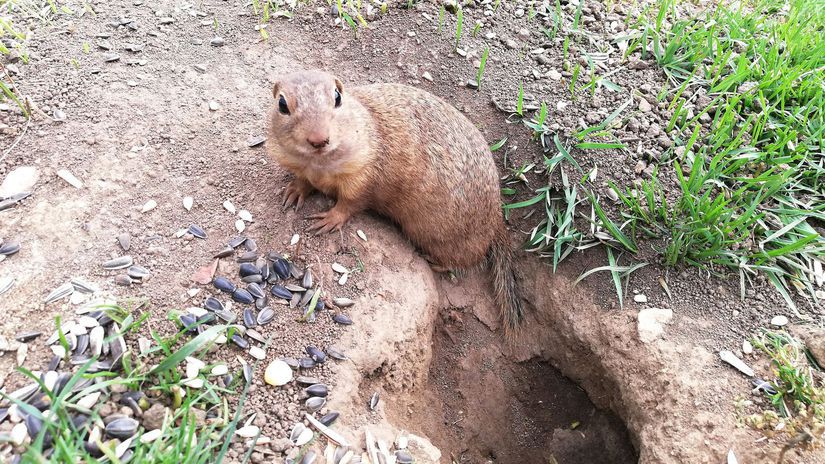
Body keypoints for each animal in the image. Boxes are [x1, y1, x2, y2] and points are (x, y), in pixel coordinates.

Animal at [264, 69, 524, 336]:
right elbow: (304, 180)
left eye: (337, 97)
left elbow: (351, 201)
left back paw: (435, 261)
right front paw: (293, 192)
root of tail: (496, 219)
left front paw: (328, 220)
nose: (319, 139)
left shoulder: (362, 172)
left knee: (468, 261)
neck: (318, 163)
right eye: (282, 104)